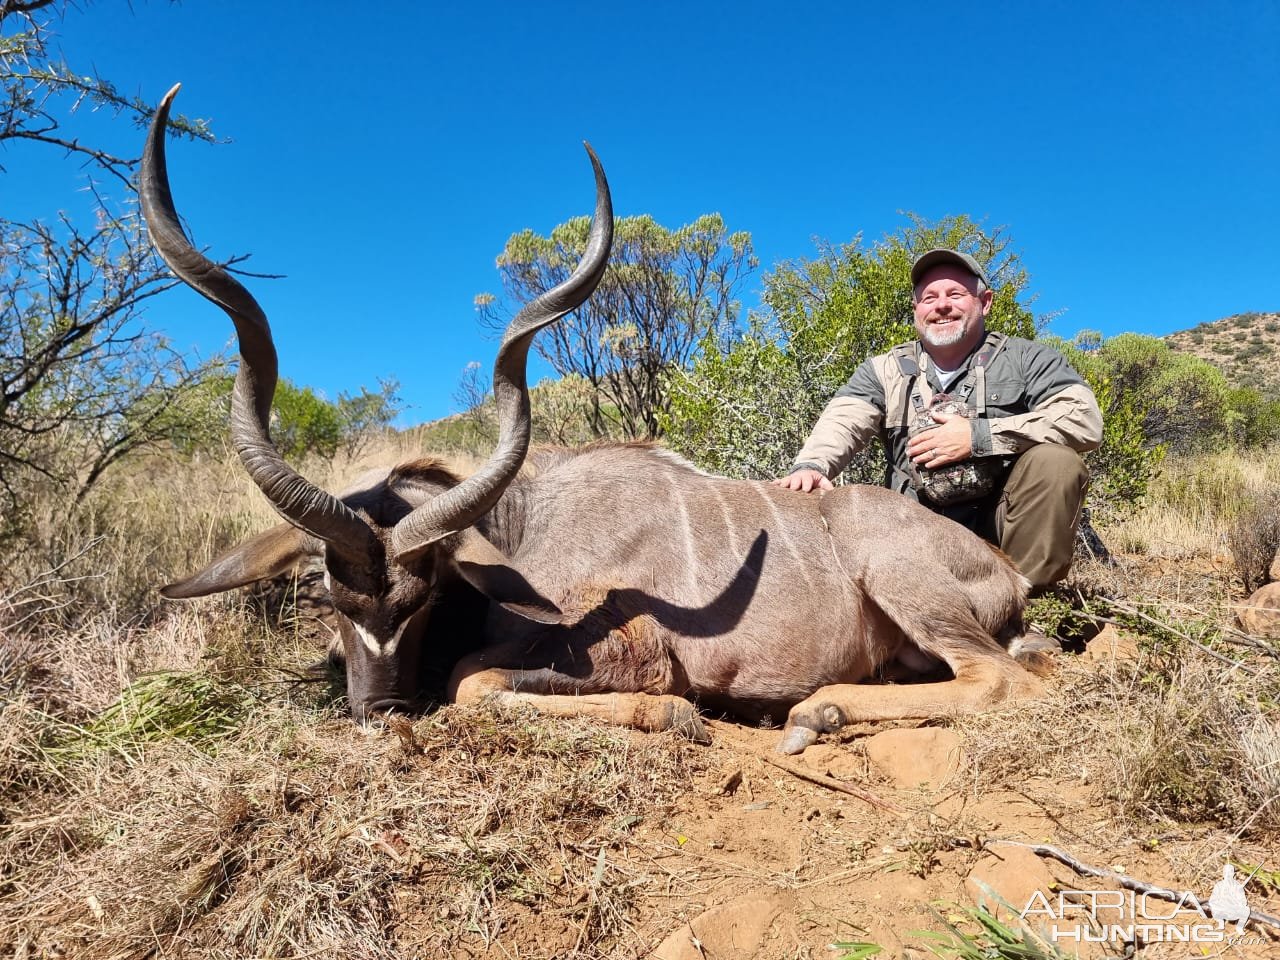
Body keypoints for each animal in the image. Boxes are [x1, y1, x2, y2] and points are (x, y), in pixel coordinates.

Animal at [142, 86, 1039, 757]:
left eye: (425, 598)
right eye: (330, 598)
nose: (381, 713)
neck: (522, 532)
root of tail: (1005, 571)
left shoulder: (624, 651)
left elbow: (474, 683)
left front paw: (676, 717)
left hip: (903, 584)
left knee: (1005, 679)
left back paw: (815, 712)